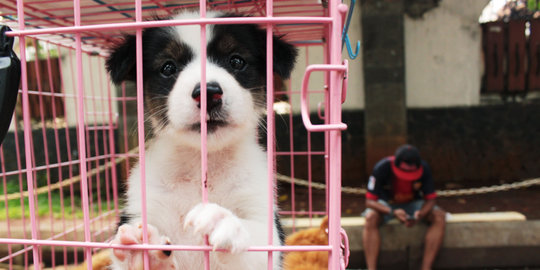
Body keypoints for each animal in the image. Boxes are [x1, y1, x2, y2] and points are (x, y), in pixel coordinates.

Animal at [106, 9, 296, 268]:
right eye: (168, 67)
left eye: (236, 61)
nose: (208, 93)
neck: (201, 167)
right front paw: (142, 250)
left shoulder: (261, 214)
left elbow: (257, 240)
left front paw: (223, 220)